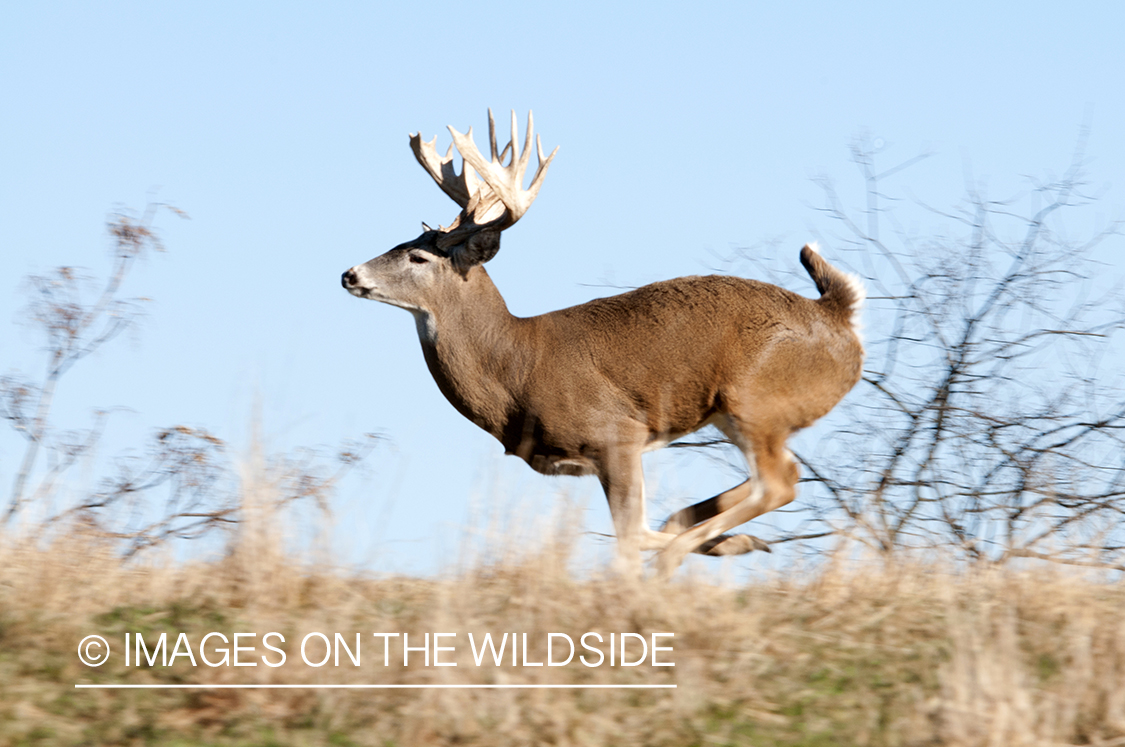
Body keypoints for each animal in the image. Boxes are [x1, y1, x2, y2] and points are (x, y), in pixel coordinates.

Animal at [337, 110, 864, 576]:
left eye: (419, 257)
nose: (349, 274)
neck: (515, 367)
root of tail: (837, 315)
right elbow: (642, 529)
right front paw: (727, 543)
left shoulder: (617, 433)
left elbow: (630, 536)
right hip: (741, 412)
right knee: (772, 480)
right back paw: (726, 540)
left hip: (755, 397)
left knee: (777, 483)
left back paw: (690, 554)